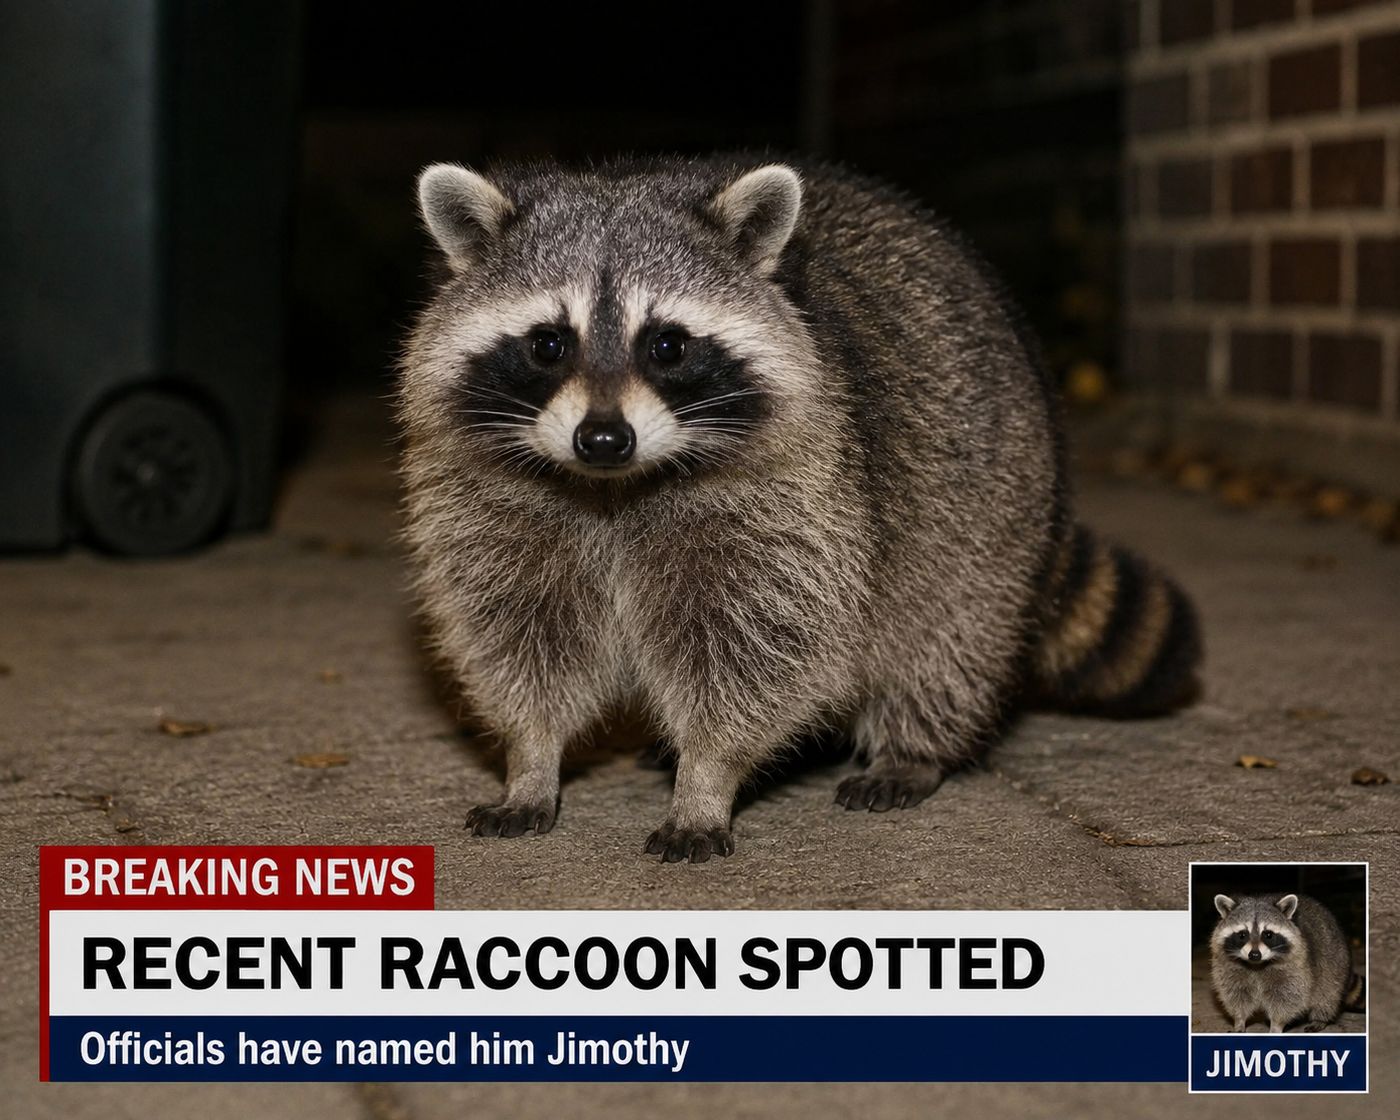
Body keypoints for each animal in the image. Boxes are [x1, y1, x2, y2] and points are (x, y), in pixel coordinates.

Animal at [398, 155, 1202, 862]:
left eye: (667, 345)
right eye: (547, 344)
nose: (602, 438)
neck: (616, 486)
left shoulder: (796, 500)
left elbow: (756, 648)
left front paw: (706, 781)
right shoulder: (493, 507)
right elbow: (519, 635)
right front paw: (531, 759)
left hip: (991, 493)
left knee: (946, 626)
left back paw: (914, 744)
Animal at [1211, 893, 1363, 1032]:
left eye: (1268, 935)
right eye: (1242, 935)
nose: (1254, 954)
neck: (1257, 965)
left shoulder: (1296, 966)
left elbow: (1288, 997)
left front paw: (1276, 1025)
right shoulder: (1228, 967)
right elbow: (1236, 994)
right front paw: (1239, 1020)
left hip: (1335, 961)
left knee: (1328, 992)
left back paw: (1320, 1017)